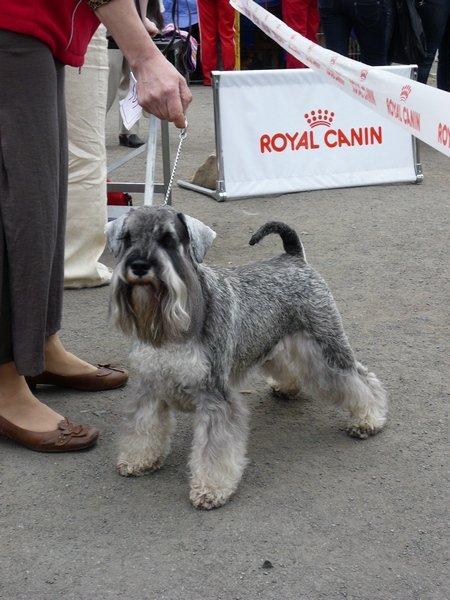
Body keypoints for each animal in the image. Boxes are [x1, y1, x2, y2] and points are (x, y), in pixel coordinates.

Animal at [106, 206, 388, 510]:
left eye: (168, 239)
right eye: (128, 238)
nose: (139, 266)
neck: (172, 325)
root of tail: (293, 257)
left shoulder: (215, 395)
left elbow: (214, 450)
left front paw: (211, 489)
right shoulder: (149, 386)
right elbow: (143, 426)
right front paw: (138, 460)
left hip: (326, 346)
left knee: (358, 378)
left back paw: (368, 419)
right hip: (275, 342)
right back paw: (286, 388)